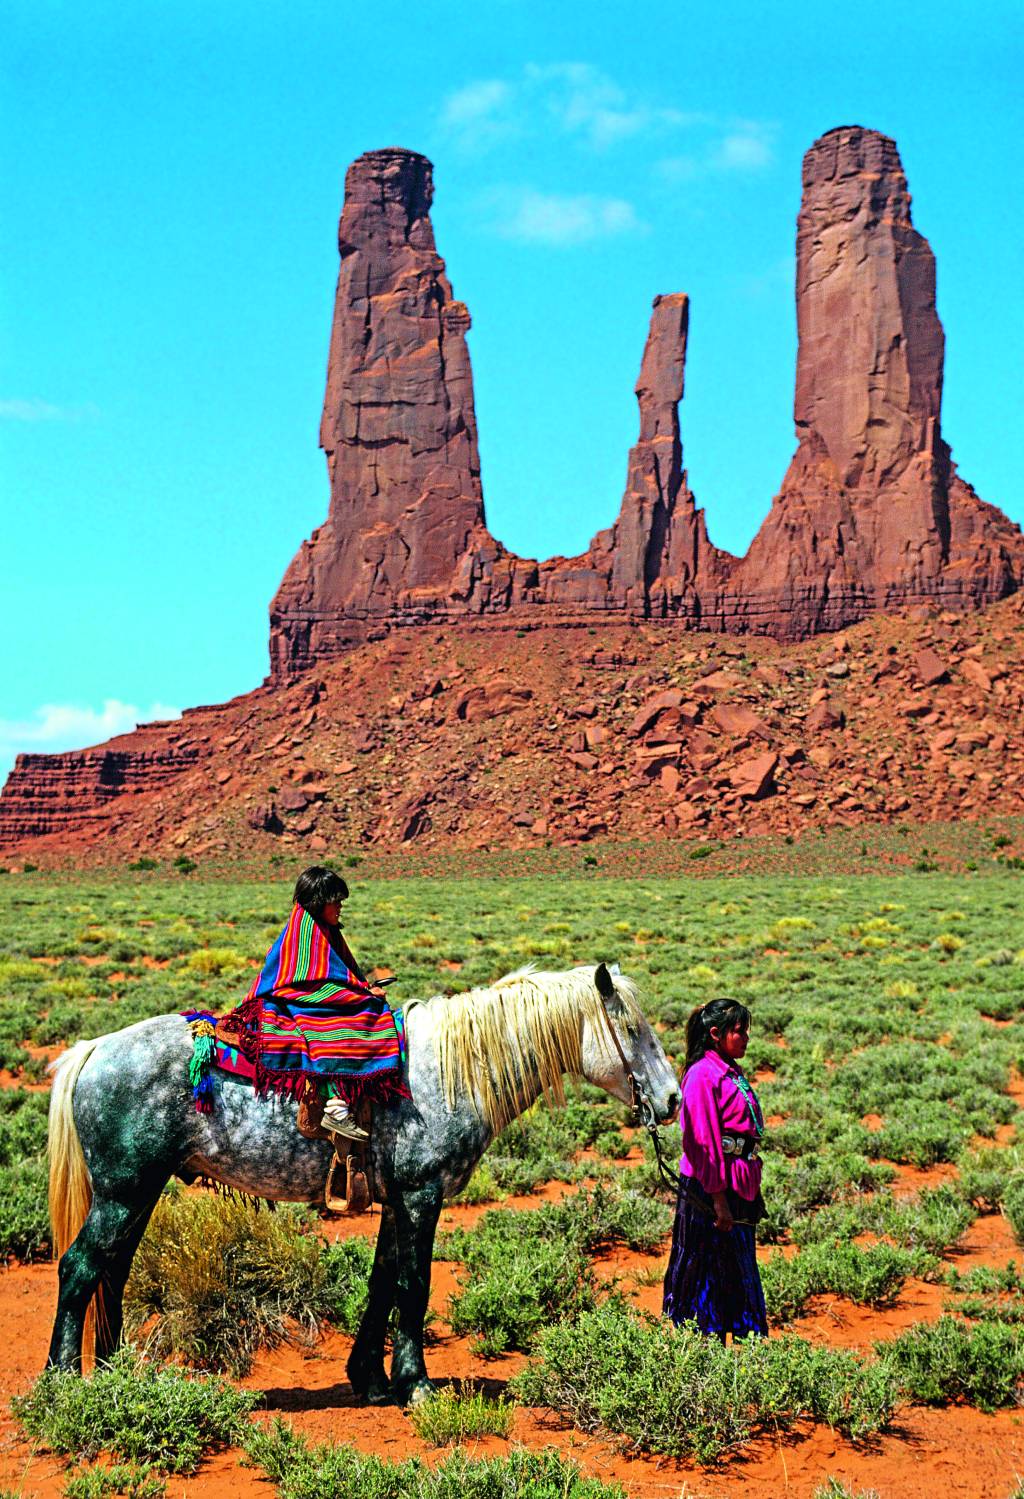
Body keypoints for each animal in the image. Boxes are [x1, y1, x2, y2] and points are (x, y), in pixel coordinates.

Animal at [52, 959, 683, 1403]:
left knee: (113, 1272)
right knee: (79, 1267)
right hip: (123, 1191)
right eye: (632, 1028)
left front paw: (372, 1379)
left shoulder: (395, 1198)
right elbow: (415, 1285)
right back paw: (64, 1381)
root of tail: (94, 1049)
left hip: (138, 1191)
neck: (450, 1072)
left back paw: (116, 1376)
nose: (673, 1099)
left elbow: (382, 1282)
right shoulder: (422, 1194)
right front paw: (417, 1384)